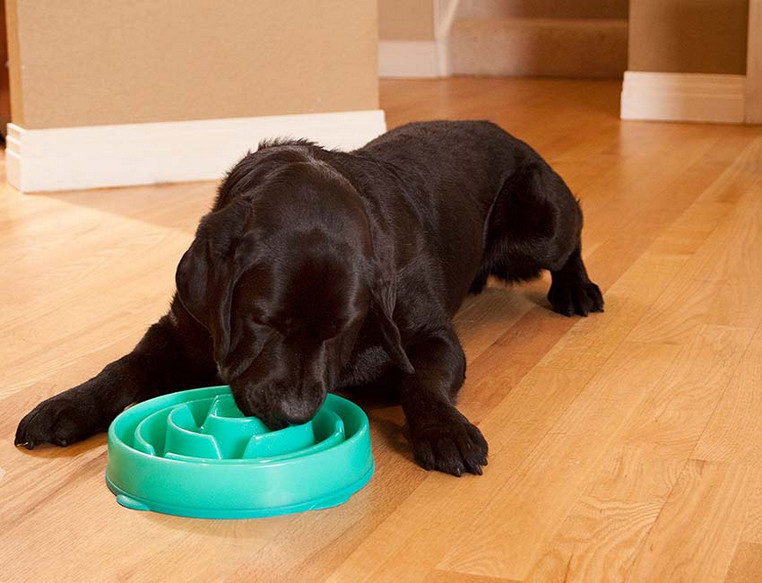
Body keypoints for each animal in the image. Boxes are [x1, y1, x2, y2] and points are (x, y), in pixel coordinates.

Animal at [14, 121, 600, 476]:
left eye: (342, 327)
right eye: (262, 322)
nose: (294, 413)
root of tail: (507, 132)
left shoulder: (429, 335)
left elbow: (422, 380)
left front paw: (445, 431)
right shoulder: (181, 329)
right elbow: (123, 368)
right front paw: (65, 405)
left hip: (539, 223)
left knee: (572, 232)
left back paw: (577, 290)